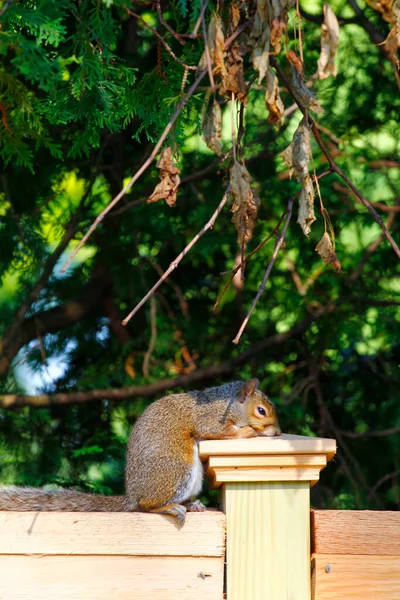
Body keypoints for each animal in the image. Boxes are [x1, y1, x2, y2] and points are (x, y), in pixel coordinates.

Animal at [0, 382, 280, 524]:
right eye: (261, 411)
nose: (277, 432)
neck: (228, 403)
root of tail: (132, 497)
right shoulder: (210, 420)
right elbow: (223, 431)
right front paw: (252, 432)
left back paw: (191, 504)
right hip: (177, 468)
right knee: (147, 506)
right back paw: (172, 508)